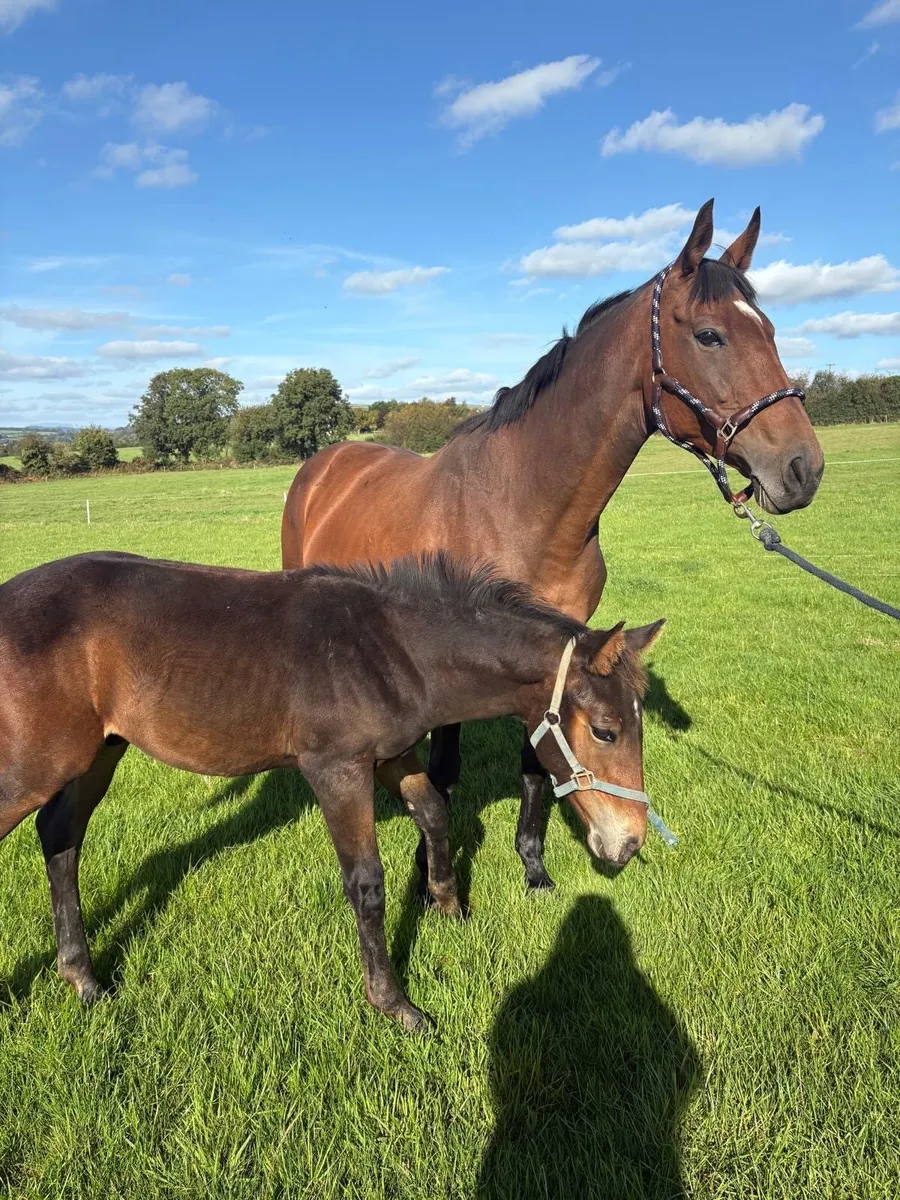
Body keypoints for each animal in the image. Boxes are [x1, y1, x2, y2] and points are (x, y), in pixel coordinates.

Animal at [0, 550, 663, 1030]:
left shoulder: (390, 755)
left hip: (98, 752)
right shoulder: (335, 768)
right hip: (35, 768)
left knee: (60, 836)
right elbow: (366, 881)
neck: (393, 652)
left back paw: (82, 977)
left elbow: (434, 812)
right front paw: (396, 1005)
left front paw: (449, 908)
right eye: (606, 730)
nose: (630, 843)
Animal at [281, 199, 824, 891]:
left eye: (773, 330)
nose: (803, 469)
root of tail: (326, 461)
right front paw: (430, 871)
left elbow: (538, 765)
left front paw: (533, 865)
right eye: (709, 335)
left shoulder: (556, 650)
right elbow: (445, 769)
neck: (522, 509)